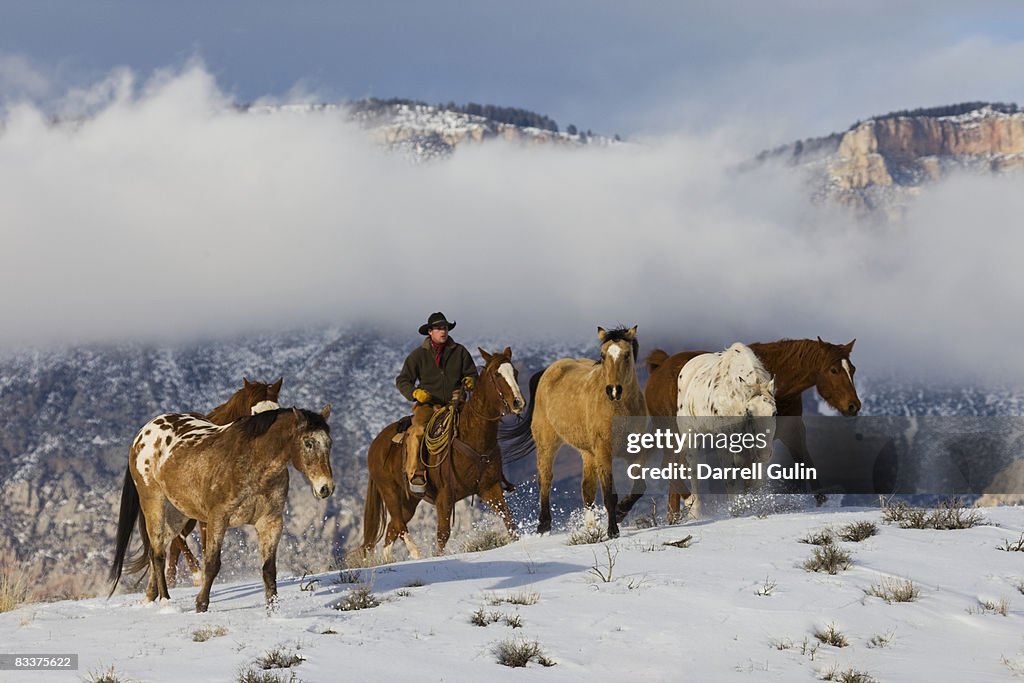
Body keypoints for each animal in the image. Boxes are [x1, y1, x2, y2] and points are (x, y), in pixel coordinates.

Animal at [108, 405, 331, 614]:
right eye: (309, 443)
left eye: (329, 443)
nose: (326, 487)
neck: (252, 461)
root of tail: (143, 433)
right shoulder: (218, 518)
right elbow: (212, 564)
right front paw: (201, 605)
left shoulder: (271, 522)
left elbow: (268, 569)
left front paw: (273, 611)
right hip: (154, 503)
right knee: (158, 555)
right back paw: (166, 602)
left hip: (177, 514)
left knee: (158, 549)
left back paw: (149, 598)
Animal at [362, 348, 524, 561]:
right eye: (497, 374)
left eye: (515, 372)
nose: (518, 402)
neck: (471, 436)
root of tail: (375, 443)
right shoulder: (444, 496)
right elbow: (443, 534)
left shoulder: (490, 488)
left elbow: (509, 521)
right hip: (389, 491)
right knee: (398, 523)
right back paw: (415, 552)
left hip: (410, 499)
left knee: (392, 529)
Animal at [499, 325, 643, 540]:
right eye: (602, 355)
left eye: (627, 354)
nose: (614, 390)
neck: (621, 409)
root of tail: (548, 370)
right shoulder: (604, 451)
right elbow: (609, 494)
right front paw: (613, 530)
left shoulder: (637, 450)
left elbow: (639, 488)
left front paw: (619, 514)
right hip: (547, 443)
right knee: (545, 479)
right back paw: (543, 526)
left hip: (587, 452)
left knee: (587, 488)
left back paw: (590, 528)